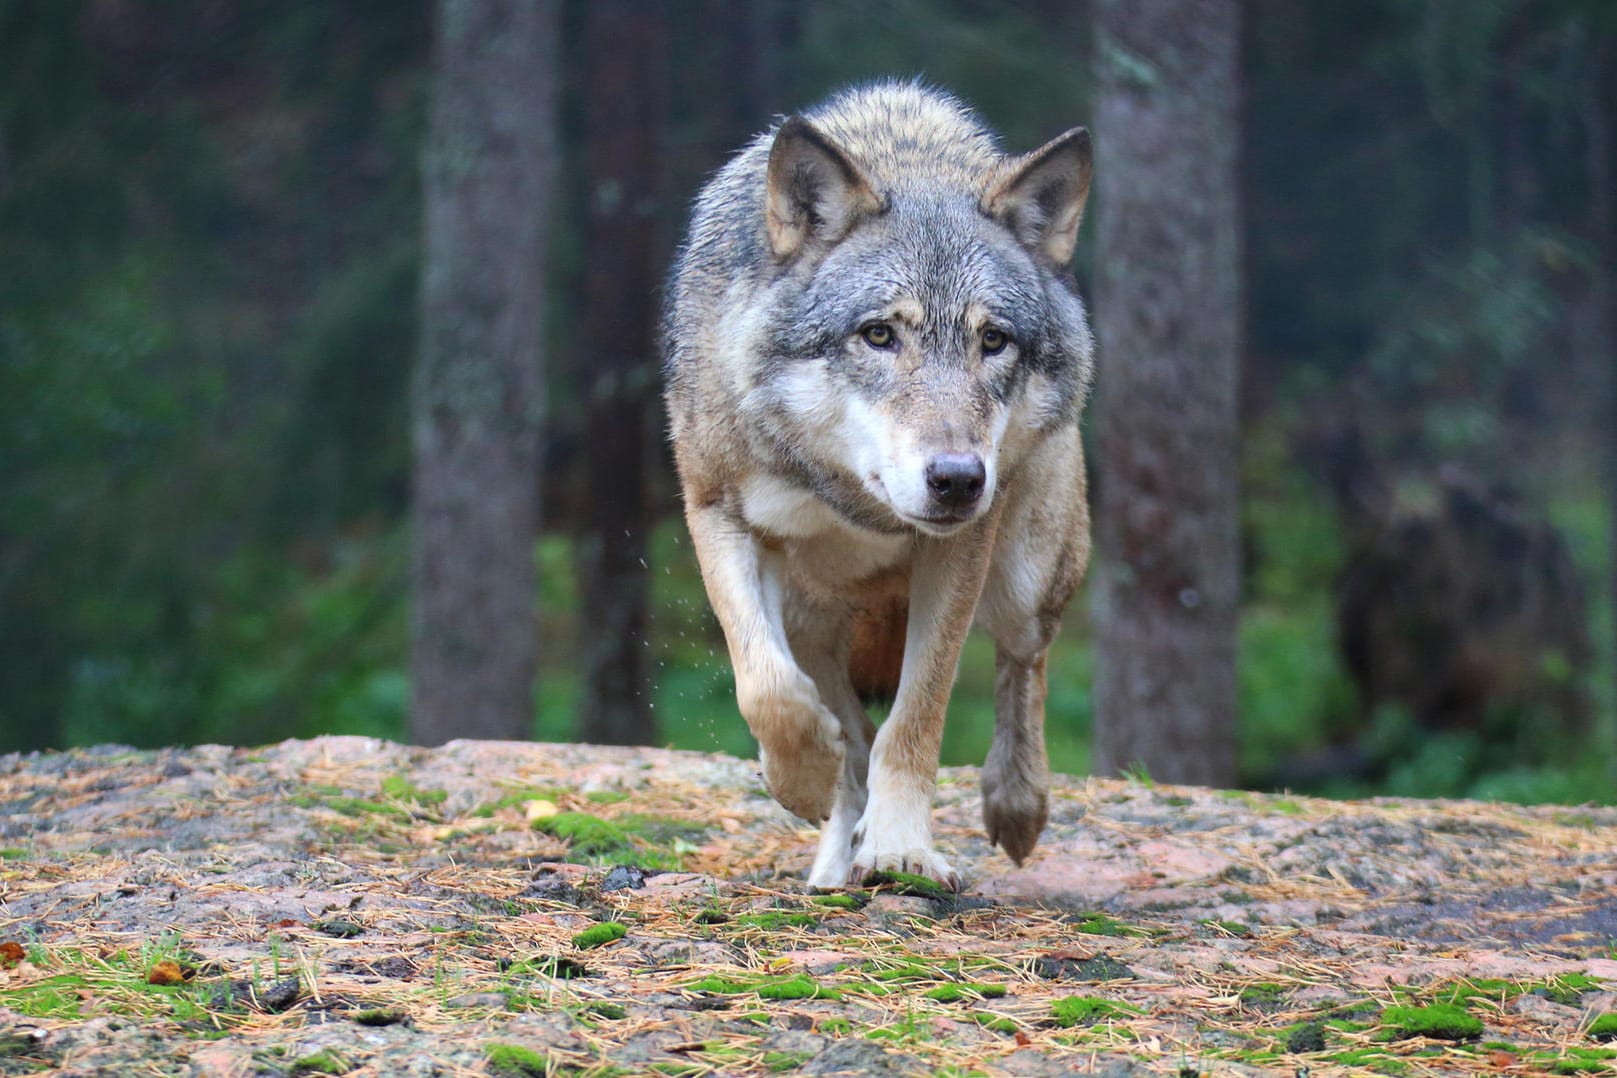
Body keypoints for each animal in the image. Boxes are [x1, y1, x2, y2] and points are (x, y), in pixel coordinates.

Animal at [662, 84, 1093, 892]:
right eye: (879, 335)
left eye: (993, 341)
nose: (958, 480)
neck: (854, 504)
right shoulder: (716, 514)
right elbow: (766, 690)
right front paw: (802, 782)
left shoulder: (960, 553)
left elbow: (915, 719)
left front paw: (900, 850)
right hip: (810, 618)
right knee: (849, 733)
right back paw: (833, 864)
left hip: (1023, 576)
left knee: (1025, 660)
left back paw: (1015, 803)